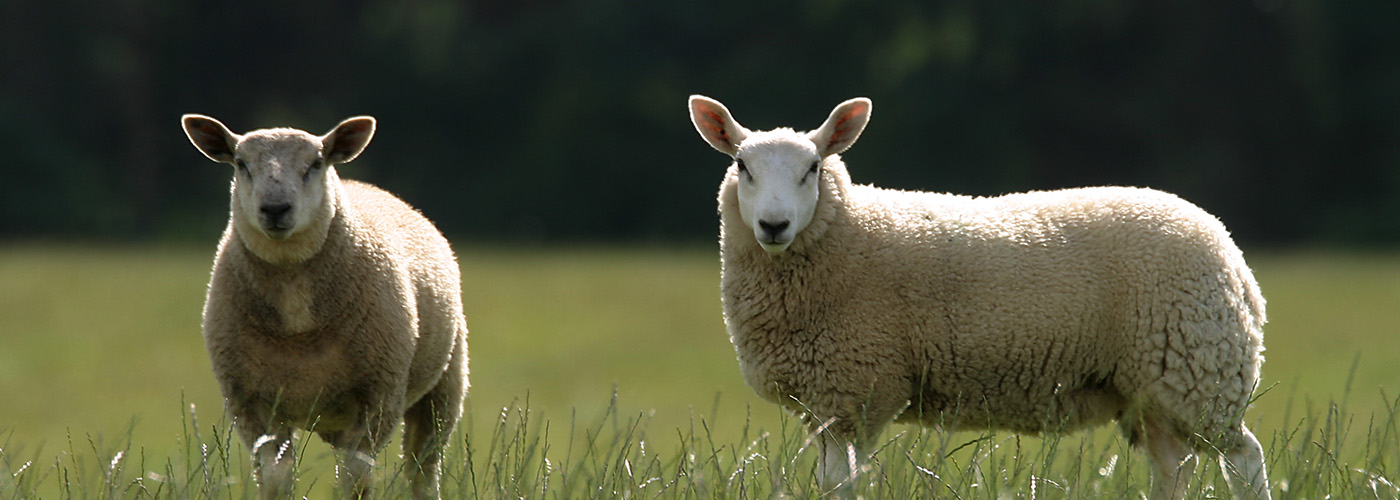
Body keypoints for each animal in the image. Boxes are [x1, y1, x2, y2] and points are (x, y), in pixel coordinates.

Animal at [182, 114, 468, 500]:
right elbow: (276, 480)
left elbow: (356, 482)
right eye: (241, 163)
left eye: (316, 163)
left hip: (445, 386)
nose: (275, 209)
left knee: (422, 471)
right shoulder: (251, 402)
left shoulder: (377, 396)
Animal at [689, 95, 1271, 500]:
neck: (848, 236)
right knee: (1175, 469)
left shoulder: (856, 390)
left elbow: (841, 486)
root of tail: (1232, 255)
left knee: (1245, 460)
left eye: (812, 169)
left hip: (1199, 368)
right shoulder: (829, 405)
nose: (774, 225)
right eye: (742, 166)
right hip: (1153, 391)